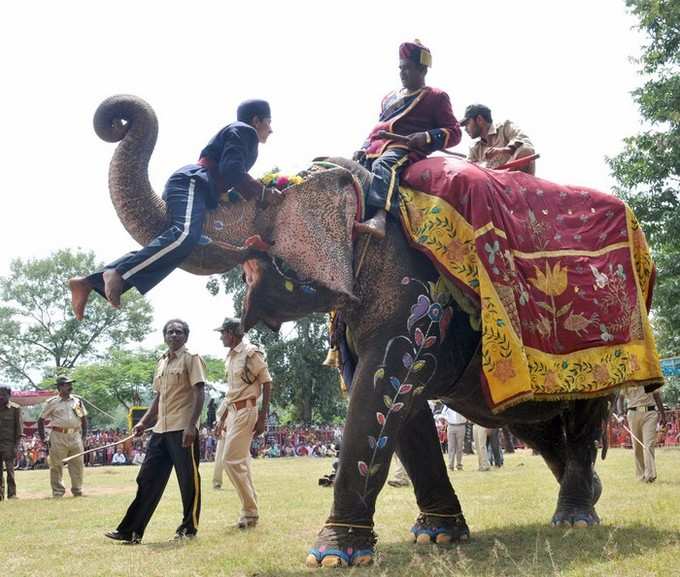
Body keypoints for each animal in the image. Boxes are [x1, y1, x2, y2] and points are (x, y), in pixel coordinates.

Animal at [95, 95, 652, 568]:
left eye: (229, 193)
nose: (116, 119)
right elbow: (399, 400)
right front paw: (437, 535)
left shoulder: (418, 294)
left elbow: (382, 388)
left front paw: (332, 556)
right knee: (529, 420)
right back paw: (588, 496)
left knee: (578, 416)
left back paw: (575, 517)